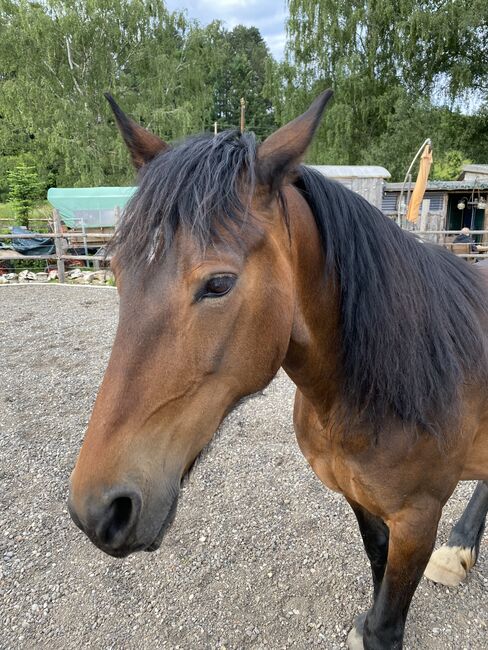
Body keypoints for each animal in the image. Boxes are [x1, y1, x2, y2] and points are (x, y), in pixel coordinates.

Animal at [68, 92, 488, 648]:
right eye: (115, 270)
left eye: (219, 284)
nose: (97, 510)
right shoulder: (364, 504)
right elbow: (377, 572)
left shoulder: (417, 519)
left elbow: (385, 625)